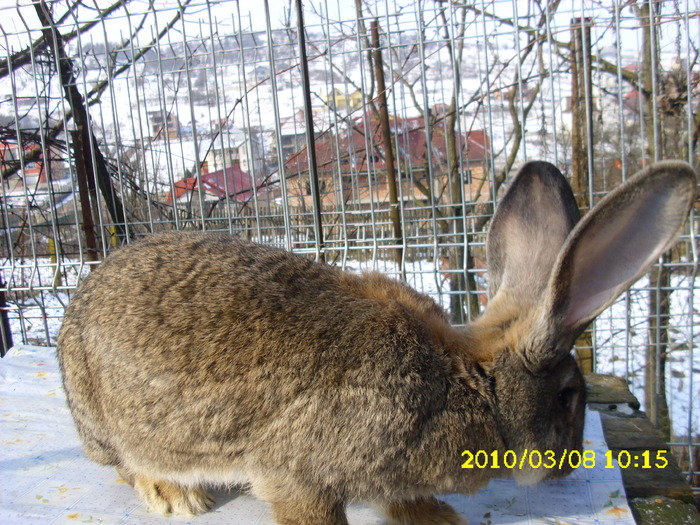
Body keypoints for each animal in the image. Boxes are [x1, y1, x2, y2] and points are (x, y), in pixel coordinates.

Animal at [57, 161, 696, 524]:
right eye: (567, 397)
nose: (567, 469)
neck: (472, 383)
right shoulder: (301, 475)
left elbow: (400, 501)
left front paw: (438, 519)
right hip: (109, 424)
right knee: (125, 463)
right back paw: (173, 495)